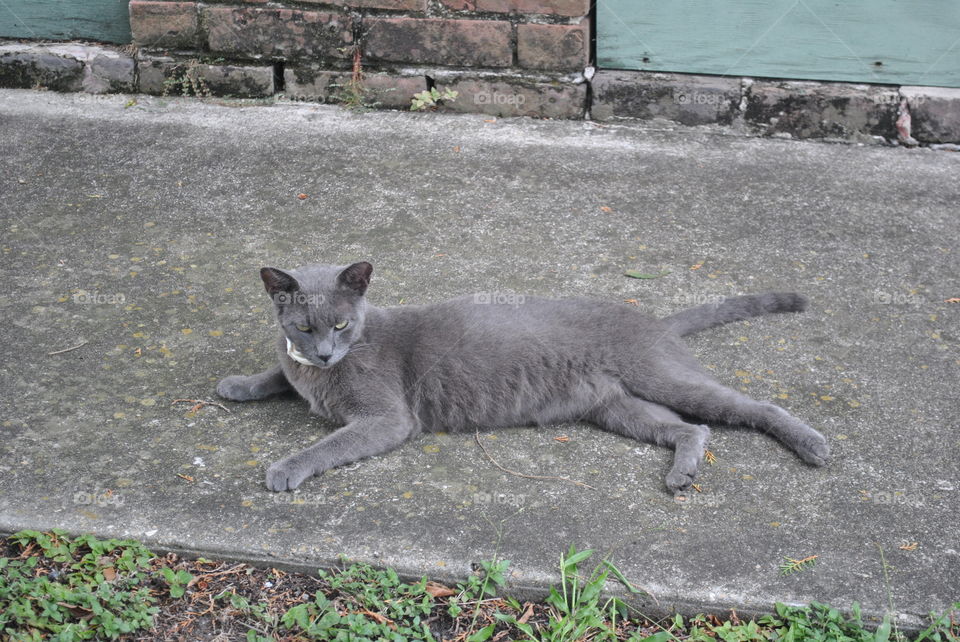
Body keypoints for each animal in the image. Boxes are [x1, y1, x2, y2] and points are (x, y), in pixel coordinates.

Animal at [216, 262, 824, 492]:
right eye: (302, 327)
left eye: (340, 324)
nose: (322, 355)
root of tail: (654, 319)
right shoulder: (295, 366)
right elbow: (277, 373)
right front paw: (238, 384)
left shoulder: (385, 419)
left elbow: (328, 443)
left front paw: (285, 468)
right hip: (616, 407)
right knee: (689, 427)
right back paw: (681, 474)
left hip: (659, 377)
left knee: (748, 408)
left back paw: (812, 444)